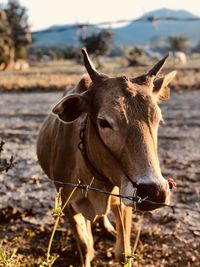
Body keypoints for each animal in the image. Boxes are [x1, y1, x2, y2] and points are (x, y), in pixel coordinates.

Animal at [36, 49, 176, 266]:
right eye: (103, 122)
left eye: (157, 119)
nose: (155, 192)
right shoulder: (68, 204)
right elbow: (86, 245)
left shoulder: (125, 201)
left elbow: (123, 252)